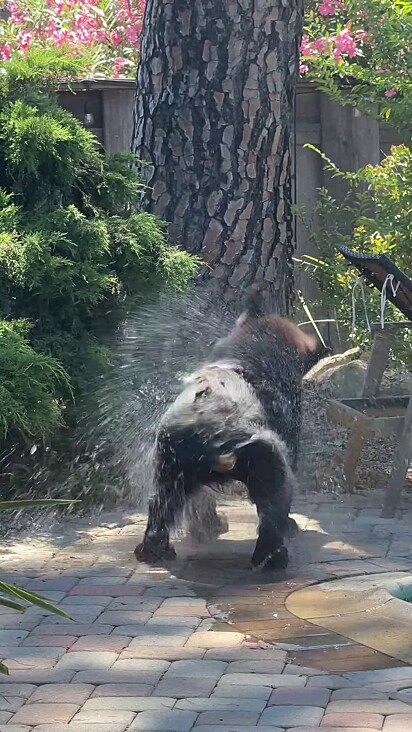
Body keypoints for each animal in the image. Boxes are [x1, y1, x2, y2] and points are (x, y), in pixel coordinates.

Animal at [134, 294, 326, 568]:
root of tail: (208, 432)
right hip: (267, 459)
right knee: (272, 507)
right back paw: (272, 557)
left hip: (170, 468)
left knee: (162, 504)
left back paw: (157, 549)